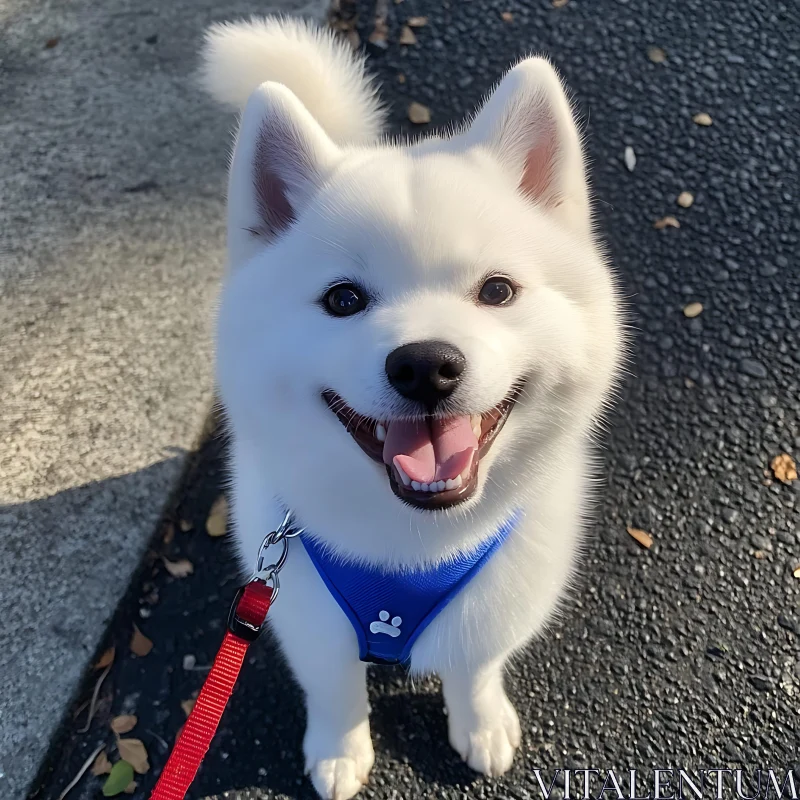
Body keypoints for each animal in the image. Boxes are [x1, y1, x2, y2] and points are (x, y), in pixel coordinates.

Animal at [200, 18, 624, 800]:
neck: (411, 548)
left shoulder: (495, 601)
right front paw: (339, 748)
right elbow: (335, 687)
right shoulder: (302, 613)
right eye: (343, 299)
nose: (426, 365)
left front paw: (480, 721)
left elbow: (474, 668)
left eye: (497, 290)